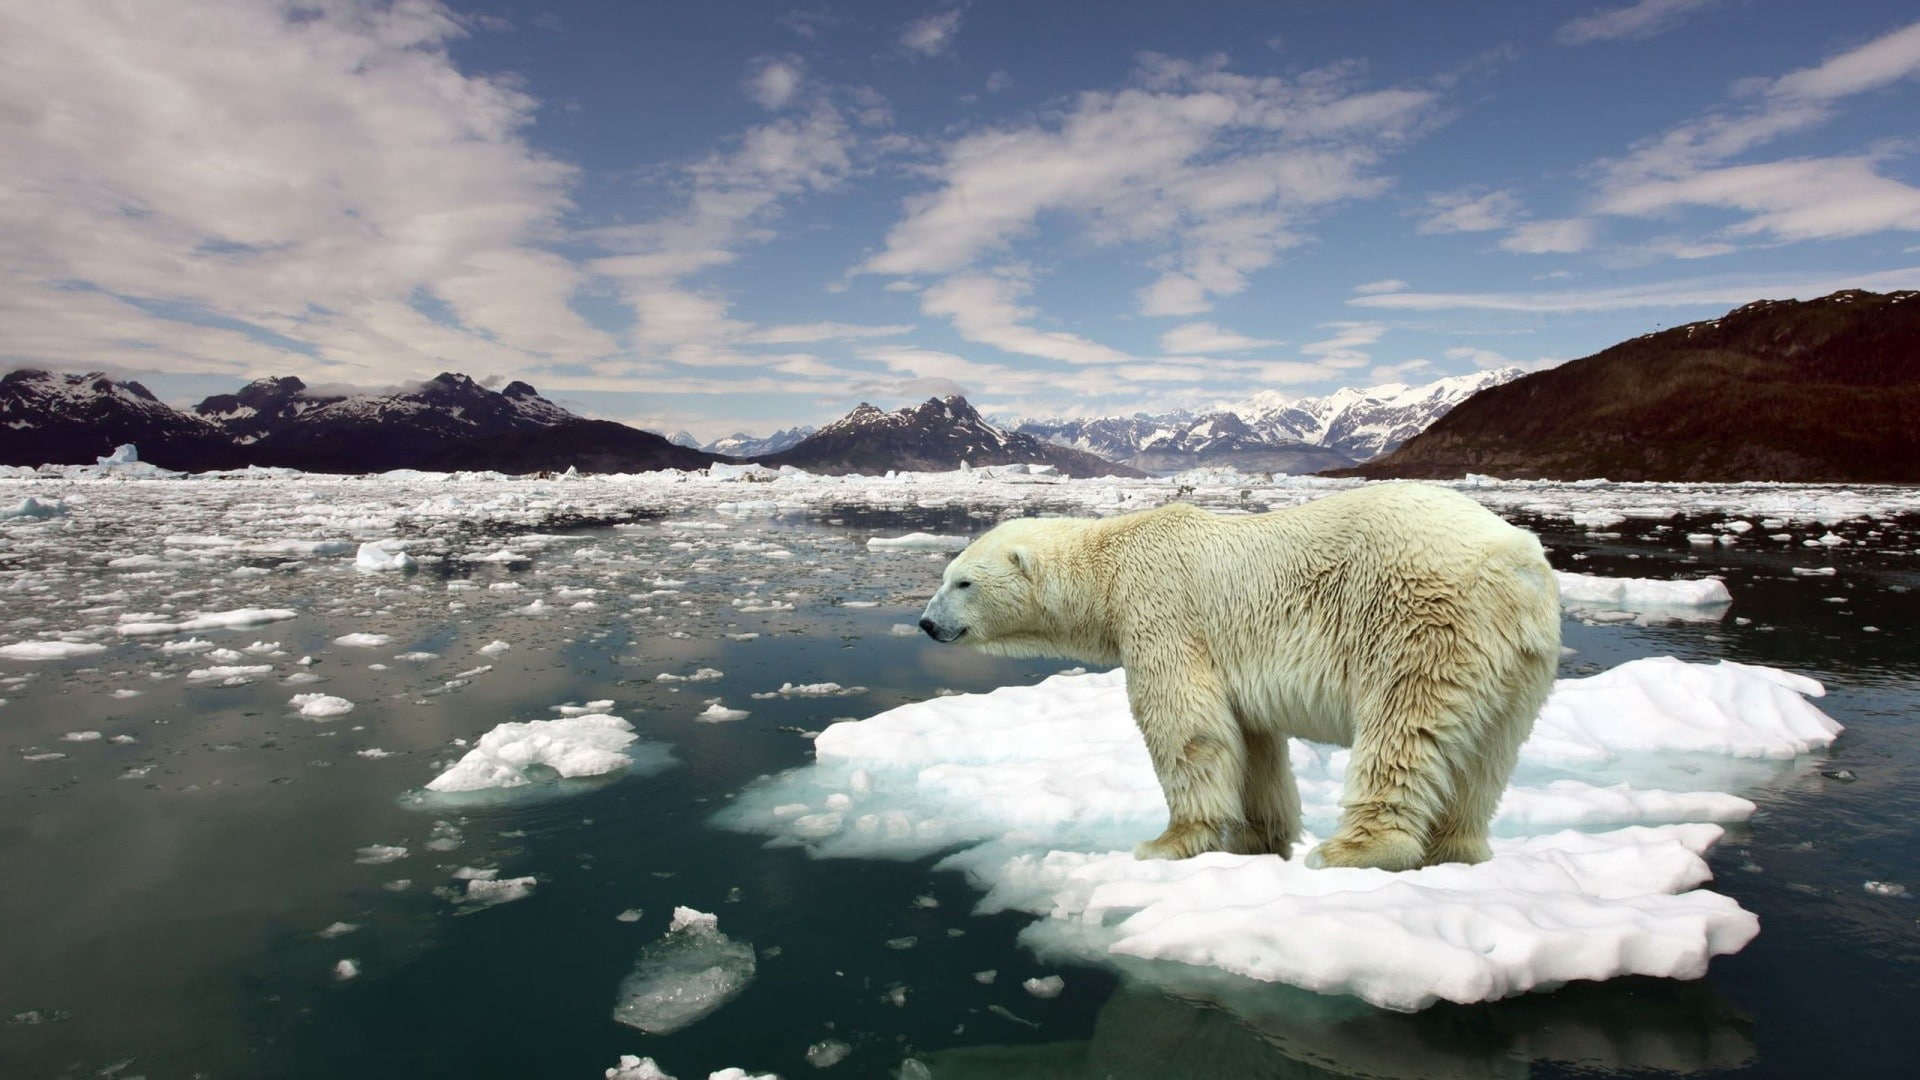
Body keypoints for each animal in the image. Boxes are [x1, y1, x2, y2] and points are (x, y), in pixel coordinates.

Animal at [918, 482, 1562, 871]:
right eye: (946, 576)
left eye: (962, 582)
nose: (926, 623)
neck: (1111, 561)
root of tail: (1517, 562)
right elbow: (1252, 742)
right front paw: (1259, 839)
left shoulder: (1162, 609)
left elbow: (1185, 725)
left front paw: (1168, 842)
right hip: (1520, 661)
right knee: (1487, 755)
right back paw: (1457, 850)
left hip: (1421, 620)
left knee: (1404, 727)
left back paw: (1353, 850)